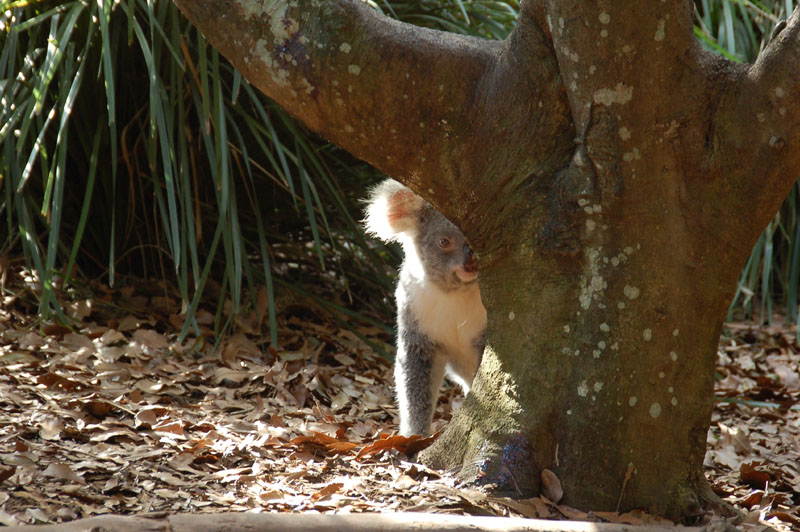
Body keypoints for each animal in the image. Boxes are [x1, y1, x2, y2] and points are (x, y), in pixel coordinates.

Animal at [364, 179, 487, 436]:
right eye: (444, 242)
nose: (470, 261)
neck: (456, 292)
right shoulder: (417, 317)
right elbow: (414, 380)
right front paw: (414, 436)